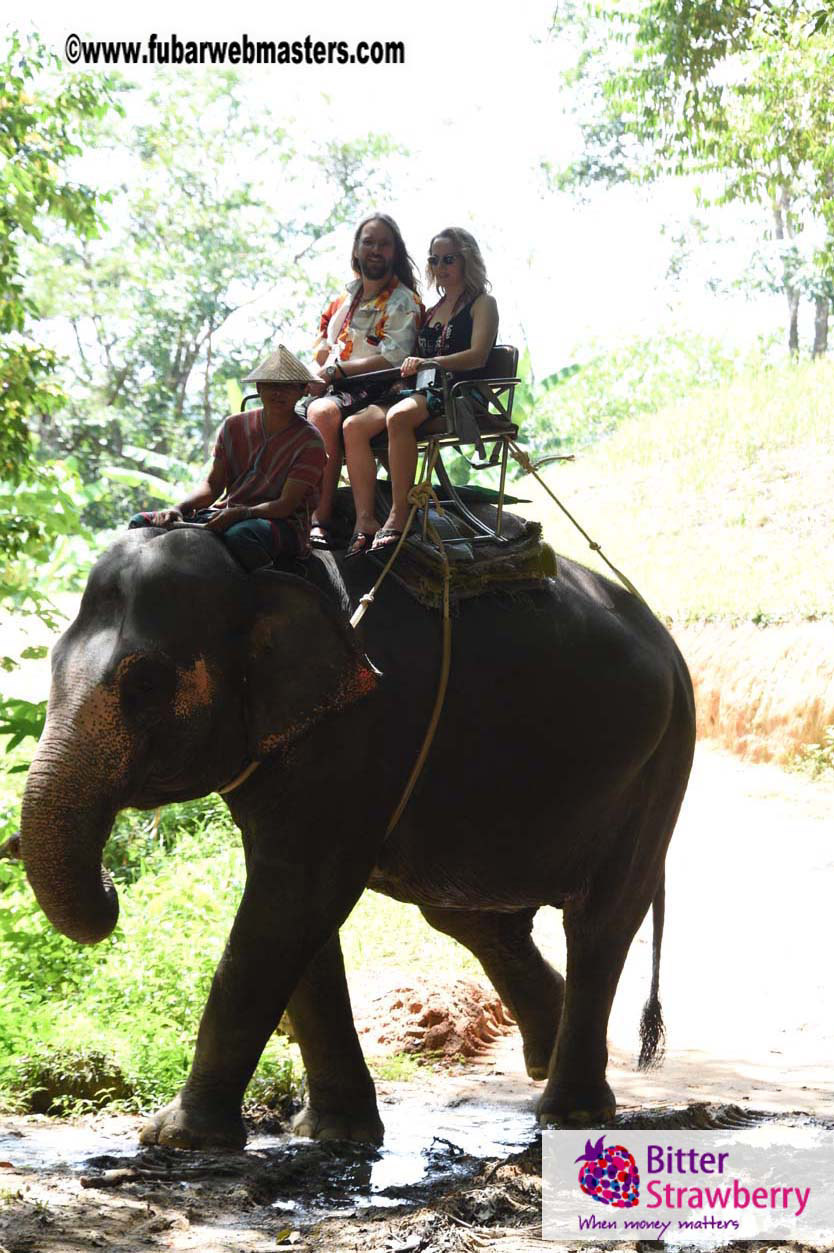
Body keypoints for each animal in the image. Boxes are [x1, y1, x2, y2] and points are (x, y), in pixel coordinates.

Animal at [19, 520, 695, 1149]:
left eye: (146, 683)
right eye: (48, 665)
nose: (111, 882)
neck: (257, 567)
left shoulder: (362, 726)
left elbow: (293, 896)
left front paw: (175, 1137)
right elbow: (297, 909)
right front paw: (332, 1134)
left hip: (660, 762)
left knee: (601, 920)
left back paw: (569, 1113)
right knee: (470, 917)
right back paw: (543, 1058)